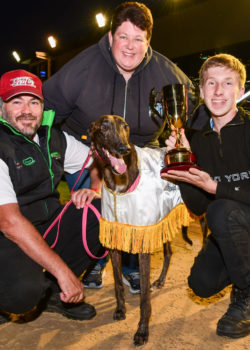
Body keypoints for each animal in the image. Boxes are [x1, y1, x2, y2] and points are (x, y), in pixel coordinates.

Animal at [89, 114, 195, 344]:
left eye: (125, 126)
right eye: (104, 127)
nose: (123, 148)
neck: (118, 182)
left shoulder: (142, 242)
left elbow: (145, 298)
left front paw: (142, 331)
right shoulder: (117, 239)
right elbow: (118, 283)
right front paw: (120, 310)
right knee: (169, 253)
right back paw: (160, 281)